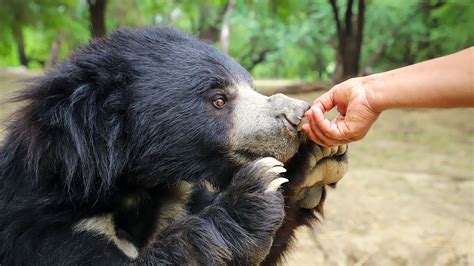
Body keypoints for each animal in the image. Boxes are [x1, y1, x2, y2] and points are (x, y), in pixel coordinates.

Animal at [0, 27, 348, 264]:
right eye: (218, 99)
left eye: (251, 86)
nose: (297, 115)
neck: (136, 186)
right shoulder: (46, 228)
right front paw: (252, 193)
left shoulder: (179, 199)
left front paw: (311, 164)